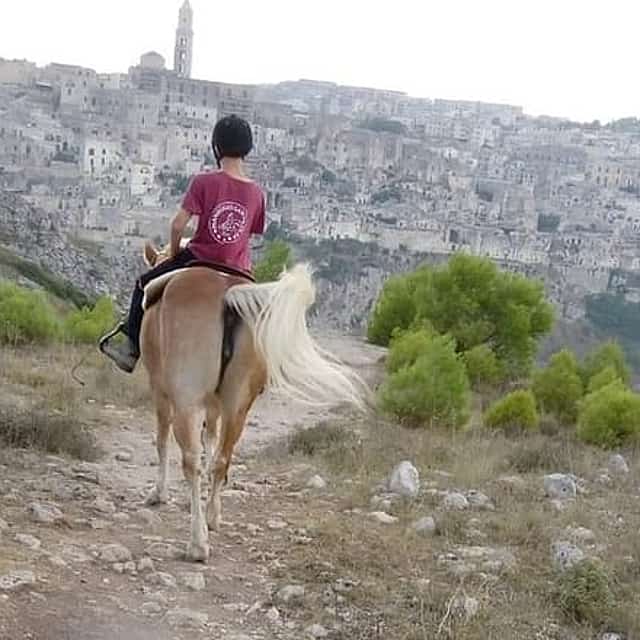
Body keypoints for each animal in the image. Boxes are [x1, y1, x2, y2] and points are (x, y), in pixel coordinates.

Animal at [138, 241, 369, 562]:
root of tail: (227, 295)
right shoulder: (215, 404)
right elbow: (212, 442)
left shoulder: (159, 389)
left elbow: (162, 441)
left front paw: (158, 494)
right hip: (238, 403)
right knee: (222, 458)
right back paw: (213, 517)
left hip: (187, 399)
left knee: (191, 461)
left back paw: (198, 543)